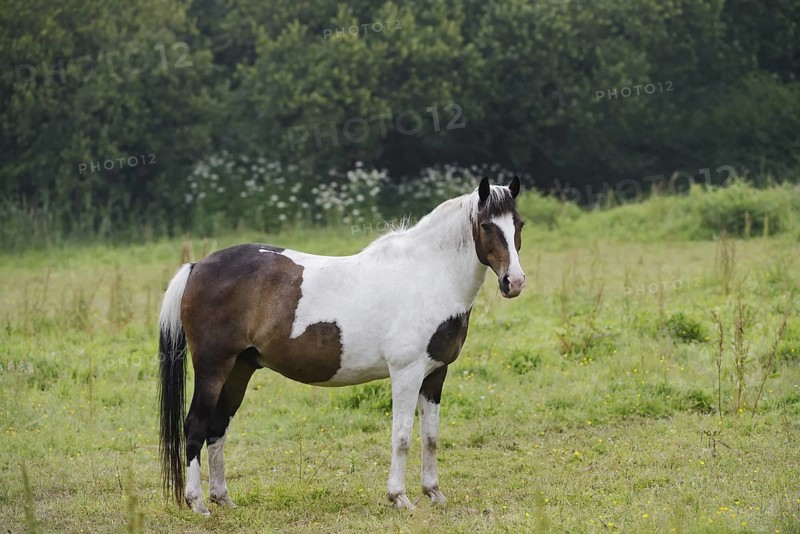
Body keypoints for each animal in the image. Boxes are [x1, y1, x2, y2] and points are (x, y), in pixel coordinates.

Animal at [158, 176, 526, 515]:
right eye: (486, 226)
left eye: (519, 225)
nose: (515, 282)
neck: (428, 277)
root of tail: (197, 267)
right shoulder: (406, 373)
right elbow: (402, 436)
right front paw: (400, 497)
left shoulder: (435, 374)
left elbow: (431, 437)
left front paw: (434, 493)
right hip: (213, 368)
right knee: (196, 425)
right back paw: (197, 503)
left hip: (239, 369)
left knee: (217, 427)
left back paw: (223, 498)